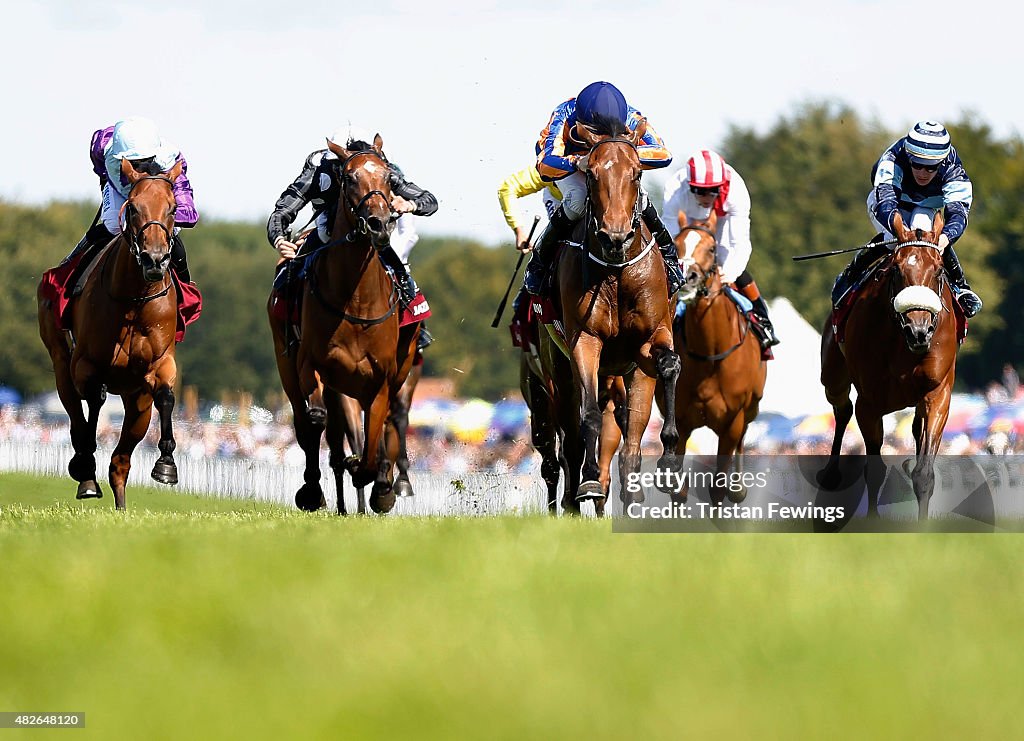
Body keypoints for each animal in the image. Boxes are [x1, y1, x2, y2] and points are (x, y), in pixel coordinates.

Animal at [37, 159, 185, 511]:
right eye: (132, 207)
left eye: (173, 208)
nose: (154, 260)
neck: (134, 300)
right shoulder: (86, 365)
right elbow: (94, 401)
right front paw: (84, 466)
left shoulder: (160, 365)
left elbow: (167, 396)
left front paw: (166, 465)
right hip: (61, 359)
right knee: (75, 413)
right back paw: (85, 472)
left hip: (137, 402)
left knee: (120, 462)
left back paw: (121, 507)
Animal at [270, 135, 421, 515]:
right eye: (350, 178)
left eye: (389, 178)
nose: (380, 224)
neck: (356, 299)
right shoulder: (312, 365)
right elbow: (316, 420)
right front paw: (319, 487)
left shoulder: (380, 380)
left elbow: (373, 441)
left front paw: (379, 487)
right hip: (287, 363)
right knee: (307, 423)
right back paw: (315, 491)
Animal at [552, 122, 679, 503]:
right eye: (592, 173)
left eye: (637, 173)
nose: (615, 237)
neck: (616, 271)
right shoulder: (584, 339)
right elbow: (590, 413)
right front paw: (591, 480)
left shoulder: (651, 338)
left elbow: (670, 365)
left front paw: (669, 461)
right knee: (570, 441)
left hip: (630, 373)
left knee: (632, 437)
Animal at [663, 212, 770, 503]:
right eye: (676, 244)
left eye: (711, 249)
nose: (688, 277)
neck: (709, 355)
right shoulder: (680, 420)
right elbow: (676, 486)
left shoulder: (732, 422)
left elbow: (718, 485)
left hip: (751, 409)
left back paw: (739, 487)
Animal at [815, 210, 958, 517]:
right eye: (896, 270)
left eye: (939, 270)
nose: (919, 330)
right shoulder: (869, 403)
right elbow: (874, 469)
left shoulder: (937, 395)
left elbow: (924, 473)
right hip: (833, 374)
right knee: (842, 408)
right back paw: (831, 475)